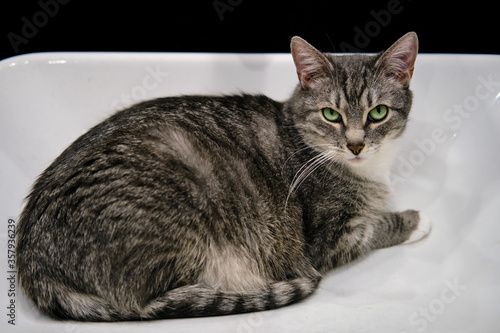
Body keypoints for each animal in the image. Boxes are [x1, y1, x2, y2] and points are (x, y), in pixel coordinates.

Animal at [15, 32, 430, 320]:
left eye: (378, 113)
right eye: (331, 114)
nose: (356, 145)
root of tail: (33, 262)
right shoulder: (329, 239)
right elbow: (375, 228)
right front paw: (416, 220)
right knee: (149, 302)